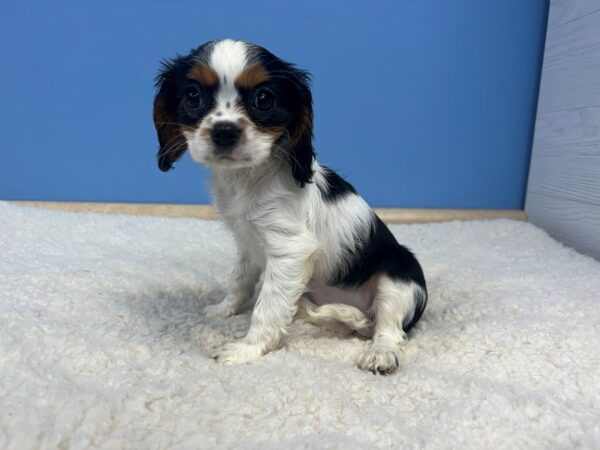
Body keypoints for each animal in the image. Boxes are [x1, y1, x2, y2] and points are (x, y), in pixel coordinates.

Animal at [155, 38, 426, 374]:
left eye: (264, 99)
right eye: (193, 96)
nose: (224, 131)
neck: (247, 177)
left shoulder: (290, 251)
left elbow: (267, 307)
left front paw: (246, 349)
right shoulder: (247, 243)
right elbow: (239, 280)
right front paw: (225, 309)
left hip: (397, 277)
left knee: (389, 329)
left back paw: (379, 353)